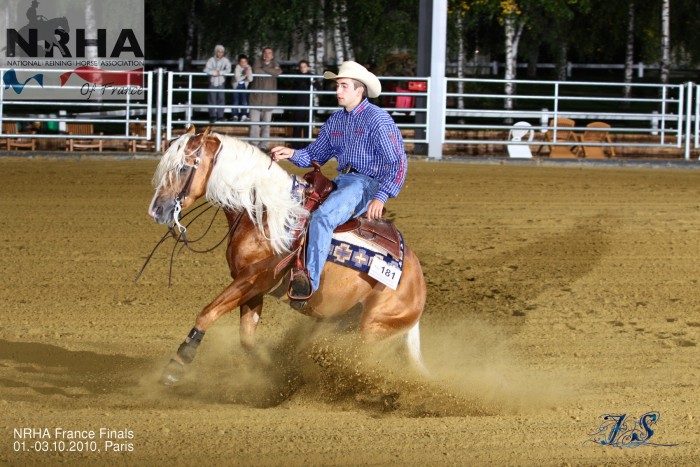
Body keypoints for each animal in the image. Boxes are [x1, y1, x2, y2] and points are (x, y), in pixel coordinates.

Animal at [148, 126, 426, 386]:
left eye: (183, 168)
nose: (157, 209)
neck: (265, 212)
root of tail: (418, 282)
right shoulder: (254, 290)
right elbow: (247, 339)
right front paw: (272, 369)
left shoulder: (252, 279)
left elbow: (207, 313)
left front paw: (174, 367)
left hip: (373, 327)